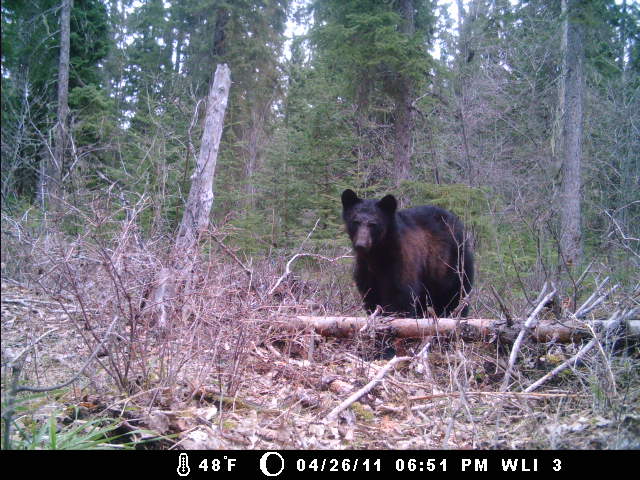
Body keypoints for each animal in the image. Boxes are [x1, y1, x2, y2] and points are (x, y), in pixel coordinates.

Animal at [341, 189, 474, 318]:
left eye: (373, 224)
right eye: (356, 221)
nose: (361, 244)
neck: (377, 253)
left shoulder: (401, 261)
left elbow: (400, 294)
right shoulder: (366, 269)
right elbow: (370, 294)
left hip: (454, 262)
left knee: (457, 292)